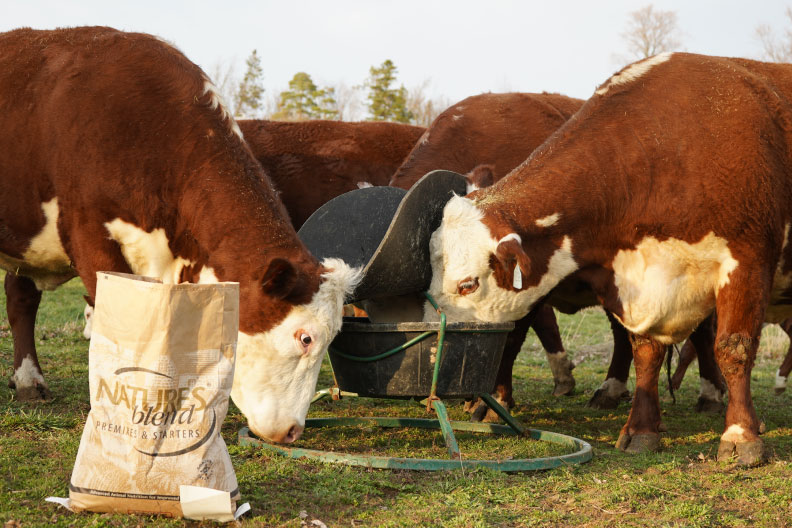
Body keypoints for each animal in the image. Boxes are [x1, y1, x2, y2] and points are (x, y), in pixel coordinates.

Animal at [426, 52, 792, 466]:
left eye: (467, 284)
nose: (431, 356)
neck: (667, 151)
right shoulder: (636, 281)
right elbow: (645, 351)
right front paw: (642, 429)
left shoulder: (747, 263)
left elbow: (734, 348)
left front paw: (741, 434)